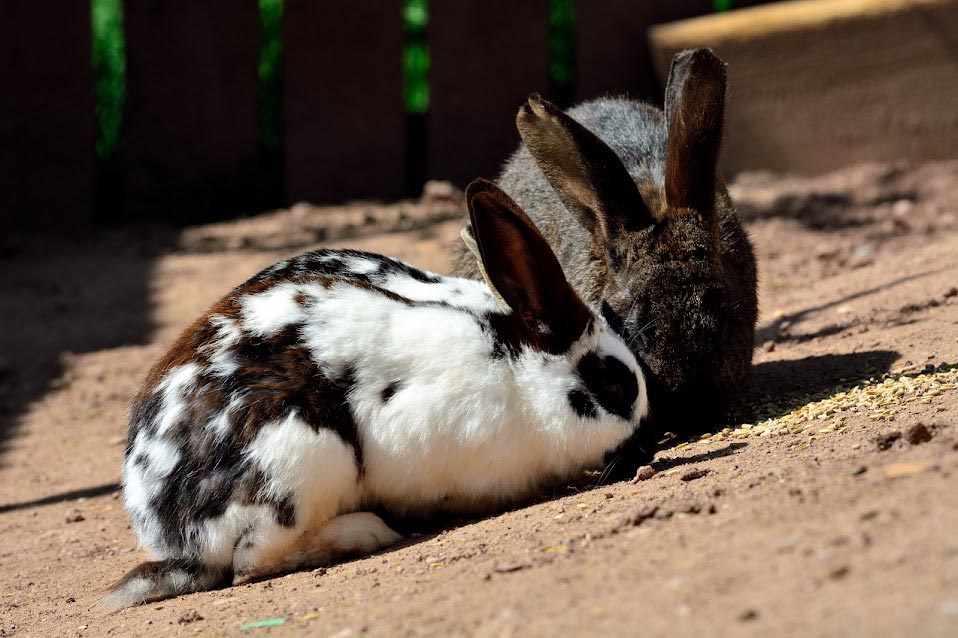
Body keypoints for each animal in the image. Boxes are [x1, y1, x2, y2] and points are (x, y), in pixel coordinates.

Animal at [102, 179, 649, 610]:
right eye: (613, 383)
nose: (645, 436)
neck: (521, 373)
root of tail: (165, 528)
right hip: (300, 457)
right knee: (250, 563)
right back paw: (368, 531)